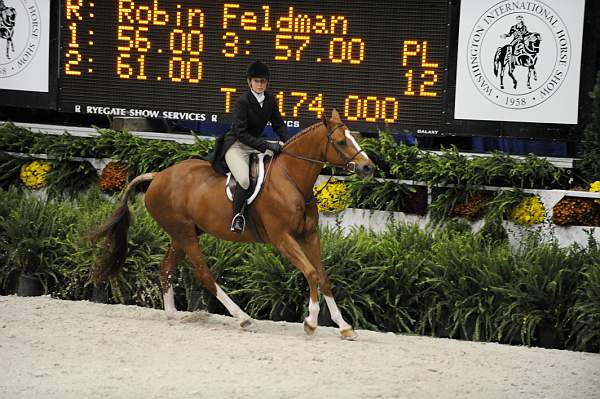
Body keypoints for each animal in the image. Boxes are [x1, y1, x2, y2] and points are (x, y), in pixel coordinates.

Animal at [90, 109, 376, 340]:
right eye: (341, 142)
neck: (292, 181)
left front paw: (344, 327)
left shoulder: (309, 236)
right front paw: (311, 322)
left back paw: (173, 315)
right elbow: (311, 273)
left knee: (166, 268)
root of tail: (158, 175)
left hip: (182, 234)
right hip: (184, 233)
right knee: (203, 274)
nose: (368, 168)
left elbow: (324, 277)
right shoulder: (283, 238)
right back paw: (243, 317)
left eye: (354, 139)